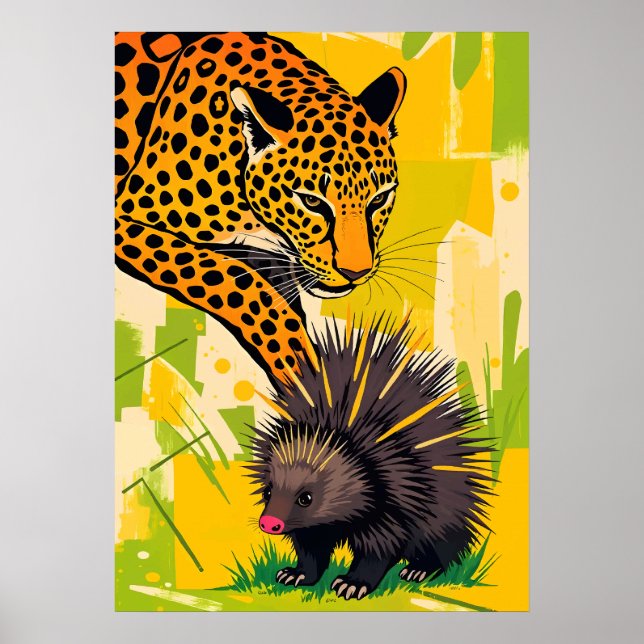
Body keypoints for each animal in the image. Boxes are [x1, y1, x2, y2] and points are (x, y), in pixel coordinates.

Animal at [115, 32, 406, 383]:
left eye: (378, 199)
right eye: (311, 201)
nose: (355, 273)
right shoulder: (126, 217)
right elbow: (238, 280)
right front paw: (297, 364)